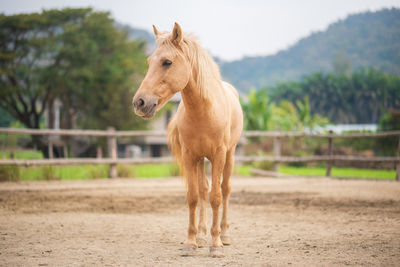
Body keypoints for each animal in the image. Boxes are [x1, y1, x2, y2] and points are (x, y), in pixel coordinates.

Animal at [133, 23, 242, 260]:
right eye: (149, 61)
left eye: (167, 62)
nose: (140, 102)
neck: (204, 110)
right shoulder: (190, 155)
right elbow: (193, 196)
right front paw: (191, 242)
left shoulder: (219, 154)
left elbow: (216, 196)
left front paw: (216, 245)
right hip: (201, 159)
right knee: (203, 191)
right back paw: (201, 236)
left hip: (229, 155)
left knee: (225, 189)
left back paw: (225, 235)